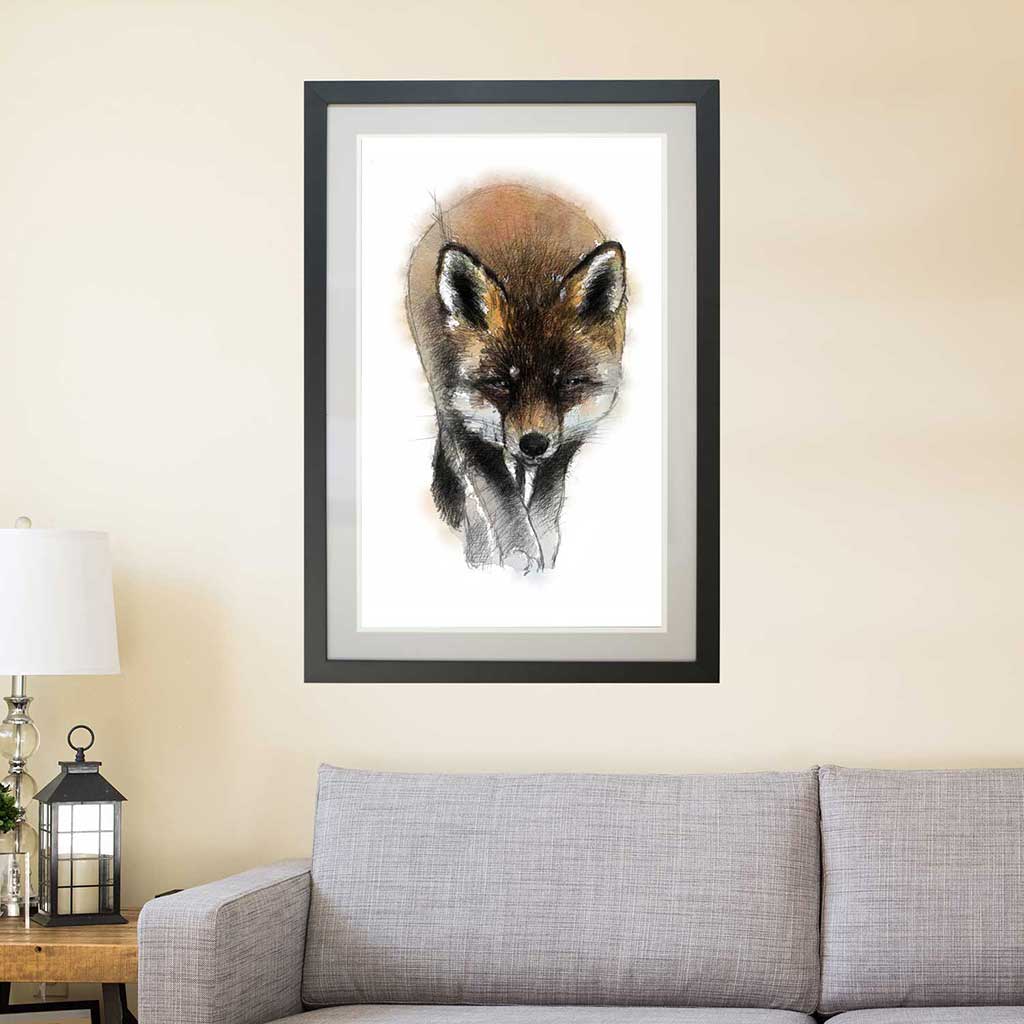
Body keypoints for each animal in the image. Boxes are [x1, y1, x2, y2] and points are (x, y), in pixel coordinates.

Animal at [405, 183, 627, 573]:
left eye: (567, 383)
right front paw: (517, 557)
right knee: (473, 500)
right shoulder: (467, 426)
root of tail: (506, 187)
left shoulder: (570, 433)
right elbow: (502, 500)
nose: (533, 444)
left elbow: (545, 502)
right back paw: (479, 555)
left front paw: (542, 552)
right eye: (500, 383)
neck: (529, 278)